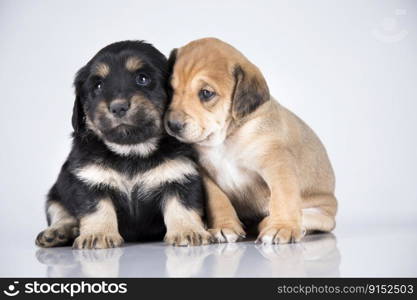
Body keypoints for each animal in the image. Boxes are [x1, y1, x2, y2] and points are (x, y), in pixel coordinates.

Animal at [35, 41, 211, 248]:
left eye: (142, 79)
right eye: (98, 85)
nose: (118, 107)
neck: (131, 151)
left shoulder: (180, 176)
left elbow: (182, 206)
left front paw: (188, 231)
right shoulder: (89, 180)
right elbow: (96, 209)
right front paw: (98, 235)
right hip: (56, 191)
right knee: (59, 212)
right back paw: (58, 232)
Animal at [164, 37, 336, 244]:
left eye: (206, 93)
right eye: (170, 89)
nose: (172, 125)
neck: (225, 139)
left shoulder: (277, 164)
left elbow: (282, 196)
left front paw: (282, 227)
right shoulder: (205, 173)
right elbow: (218, 201)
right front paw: (225, 226)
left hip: (321, 214)